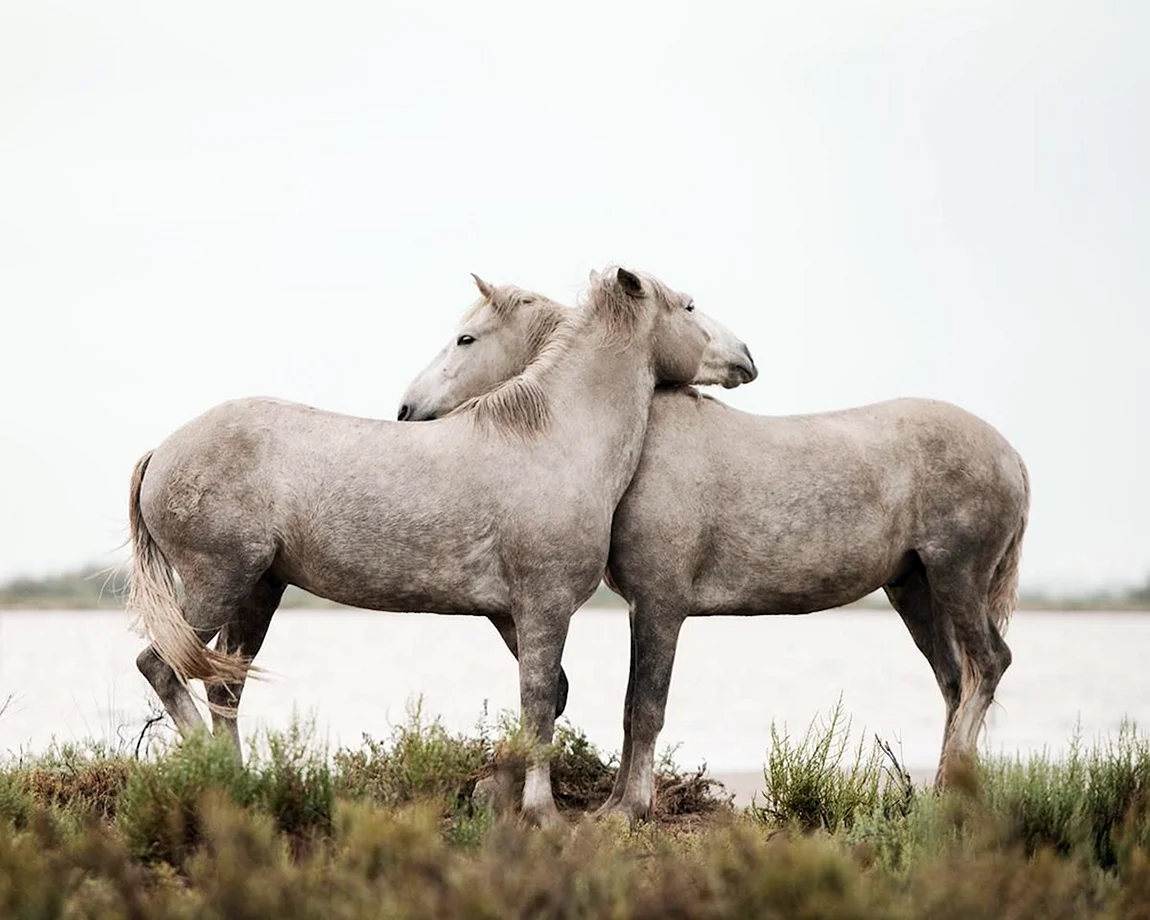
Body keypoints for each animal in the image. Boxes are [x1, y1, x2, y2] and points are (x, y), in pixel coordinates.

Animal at [127, 267, 755, 824]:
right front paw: (540, 814)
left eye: (466, 338)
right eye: (690, 306)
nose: (746, 357)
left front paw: (492, 791)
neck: (555, 440)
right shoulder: (543, 607)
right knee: (160, 666)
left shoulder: (509, 614)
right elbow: (538, 706)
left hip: (260, 590)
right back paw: (210, 770)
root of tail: (160, 452)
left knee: (224, 685)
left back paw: (237, 786)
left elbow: (552, 696)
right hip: (217, 582)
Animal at [398, 296, 1030, 822]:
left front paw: (628, 811)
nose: (406, 410)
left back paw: (950, 790)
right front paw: (615, 806)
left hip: (957, 578)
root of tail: (1011, 457)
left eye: (467, 338)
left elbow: (646, 707)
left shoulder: (662, 603)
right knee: (954, 681)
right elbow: (630, 709)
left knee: (989, 665)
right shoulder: (641, 606)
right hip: (915, 589)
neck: (640, 439)